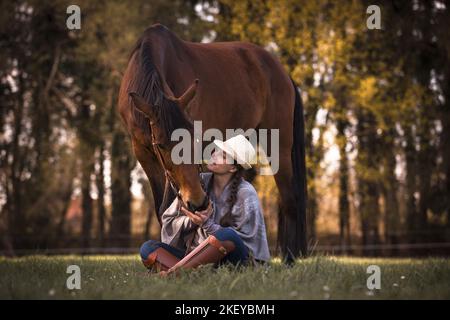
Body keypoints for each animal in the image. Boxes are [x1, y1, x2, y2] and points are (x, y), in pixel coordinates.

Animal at [118, 23, 308, 260]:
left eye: (195, 139)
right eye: (161, 145)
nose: (198, 202)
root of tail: (282, 73)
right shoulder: (144, 155)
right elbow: (162, 210)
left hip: (278, 144)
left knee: (290, 199)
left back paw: (289, 259)